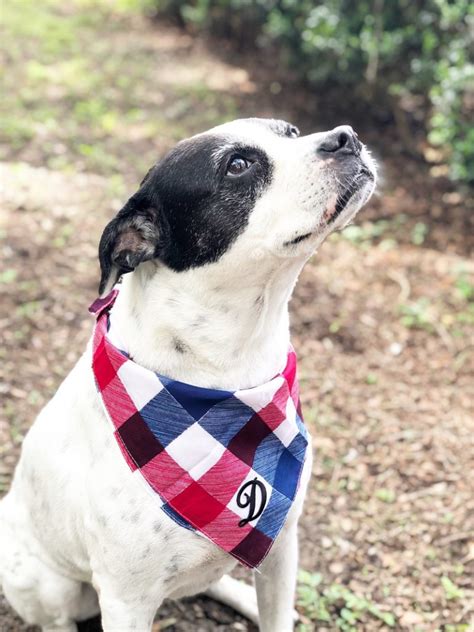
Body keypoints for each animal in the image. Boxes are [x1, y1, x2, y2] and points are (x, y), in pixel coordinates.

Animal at [0, 116, 378, 628]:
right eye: (237, 165)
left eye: (291, 132)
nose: (346, 137)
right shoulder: (126, 600)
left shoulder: (282, 546)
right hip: (46, 583)